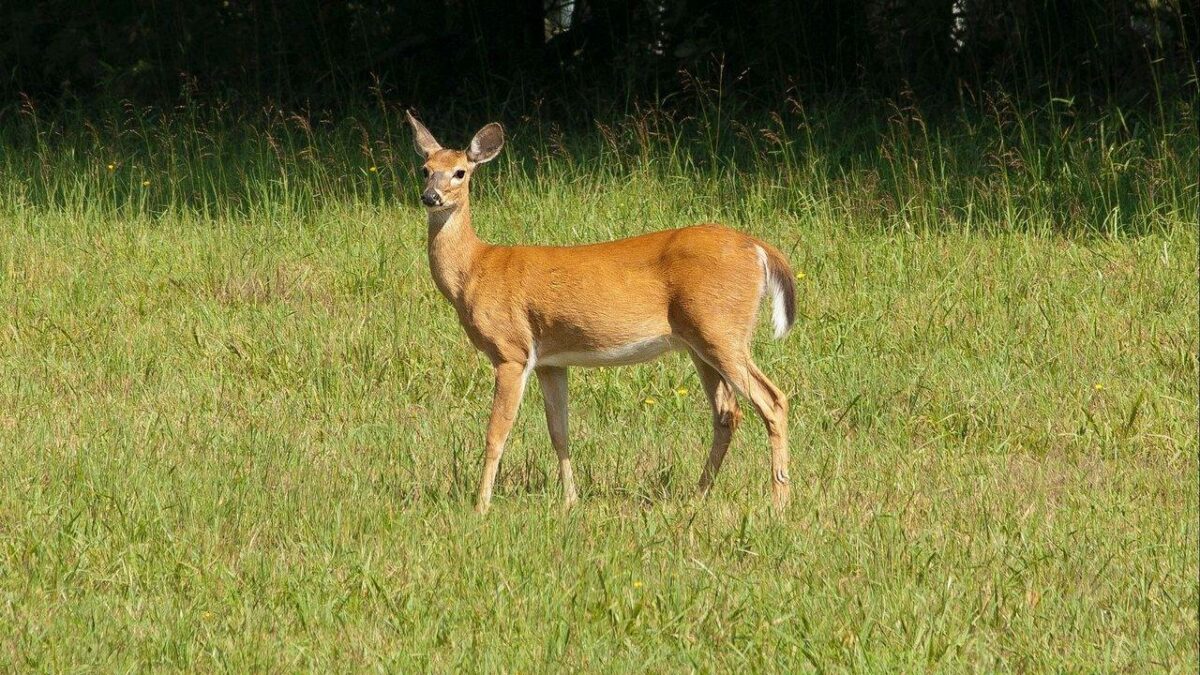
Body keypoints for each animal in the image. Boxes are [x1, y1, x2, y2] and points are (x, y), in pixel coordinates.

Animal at [405, 111, 798, 514]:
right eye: (425, 169)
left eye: (460, 172)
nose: (430, 197)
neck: (475, 269)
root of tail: (759, 248)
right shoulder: (550, 361)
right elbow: (558, 431)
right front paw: (570, 501)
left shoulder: (510, 350)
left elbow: (496, 432)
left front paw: (480, 506)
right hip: (699, 342)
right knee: (727, 412)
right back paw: (698, 494)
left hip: (721, 329)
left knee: (773, 400)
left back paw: (779, 501)